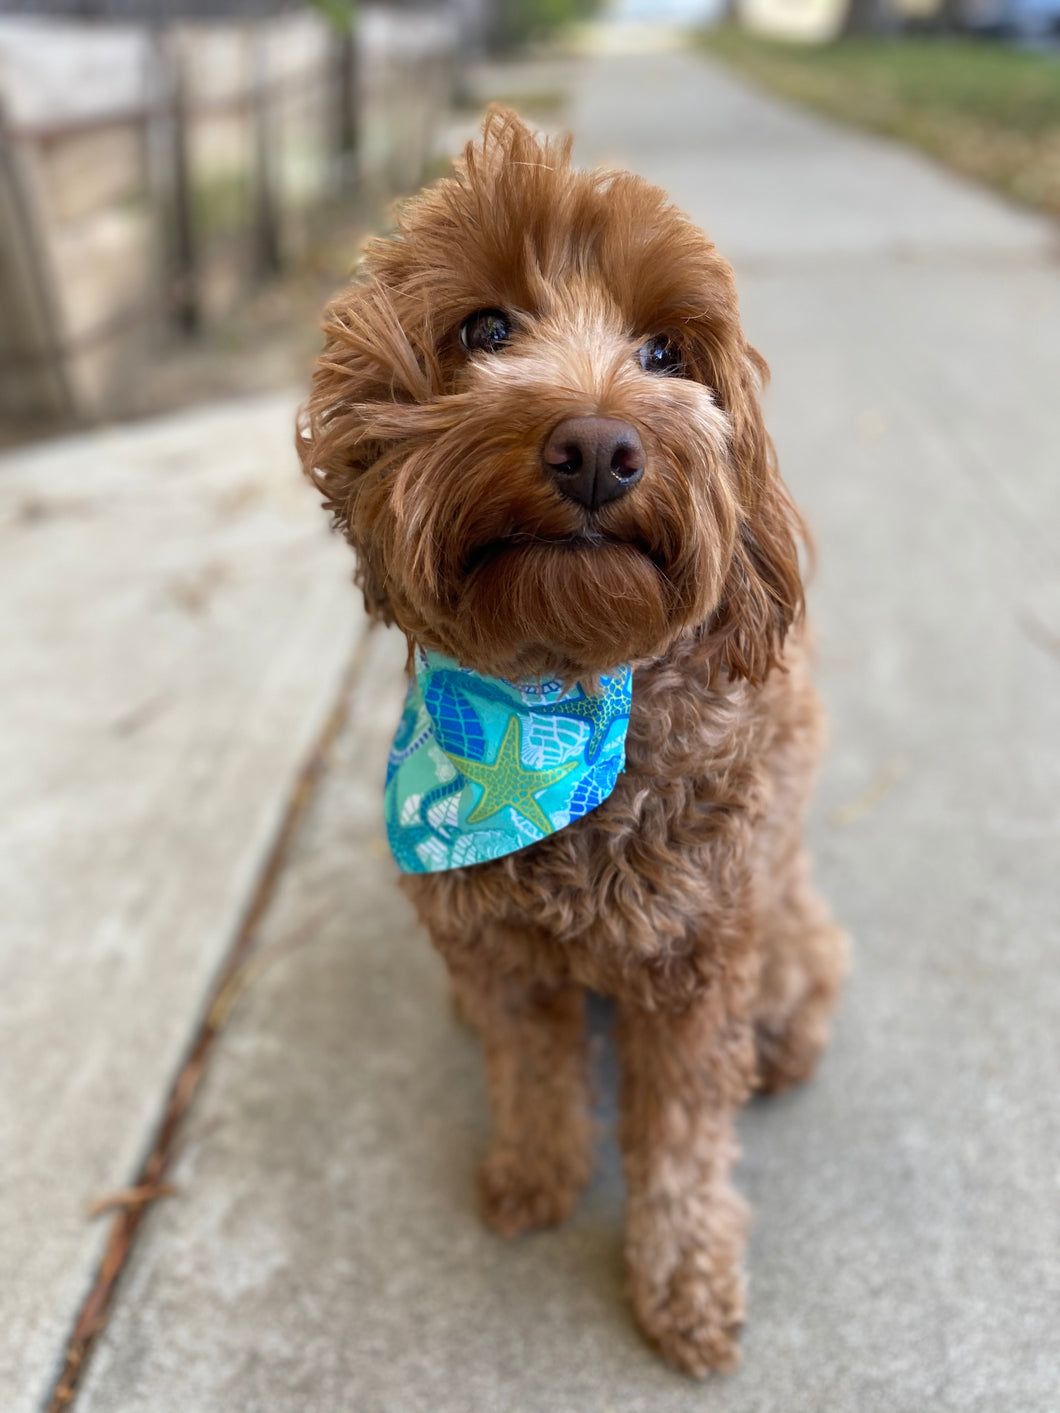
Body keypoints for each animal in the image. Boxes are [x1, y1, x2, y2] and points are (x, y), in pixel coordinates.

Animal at [296, 107, 848, 1379]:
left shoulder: (697, 965)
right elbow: (530, 1072)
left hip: (785, 941)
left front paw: (682, 1280)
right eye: (486, 329)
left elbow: (683, 1142)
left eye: (665, 353)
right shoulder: (494, 948)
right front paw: (534, 1178)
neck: (553, 698)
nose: (596, 447)